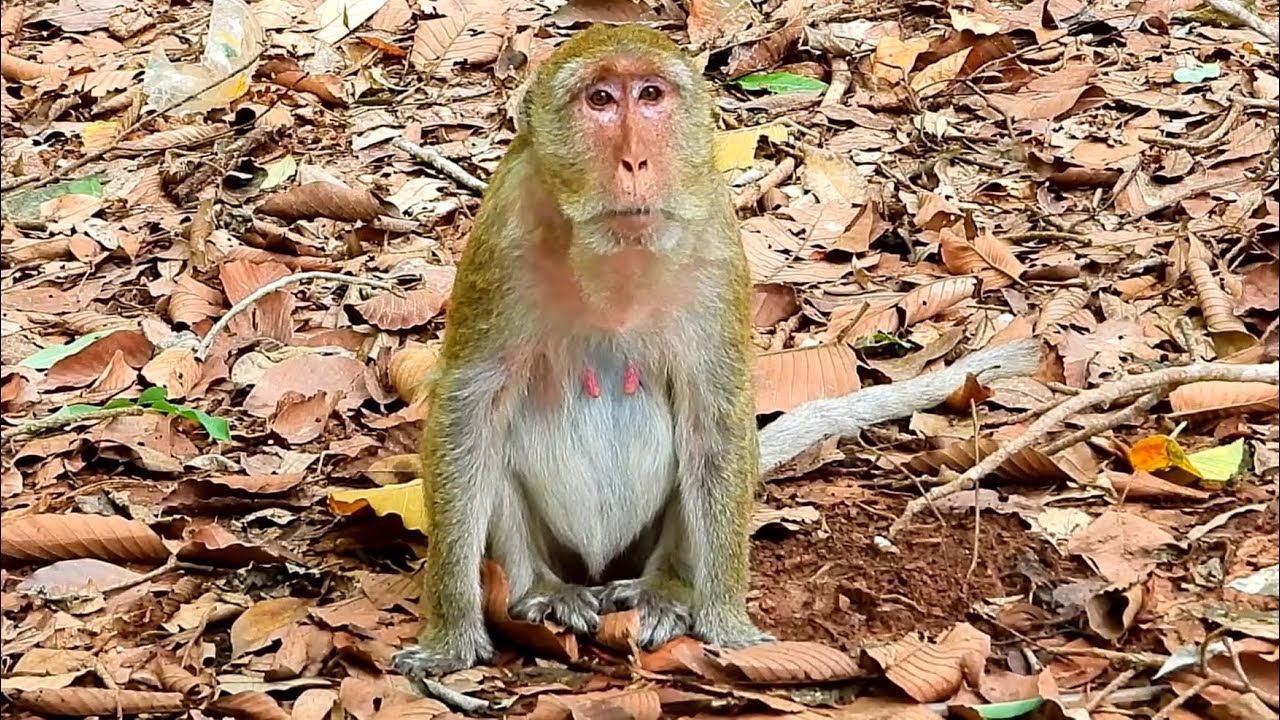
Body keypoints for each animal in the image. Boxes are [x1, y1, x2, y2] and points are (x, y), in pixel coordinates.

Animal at [393, 23, 773, 678]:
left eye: (650, 94)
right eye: (600, 100)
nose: (635, 160)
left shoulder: (716, 247)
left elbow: (716, 416)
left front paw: (728, 622)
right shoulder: (501, 241)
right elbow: (468, 413)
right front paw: (450, 634)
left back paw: (663, 590)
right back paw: (542, 591)